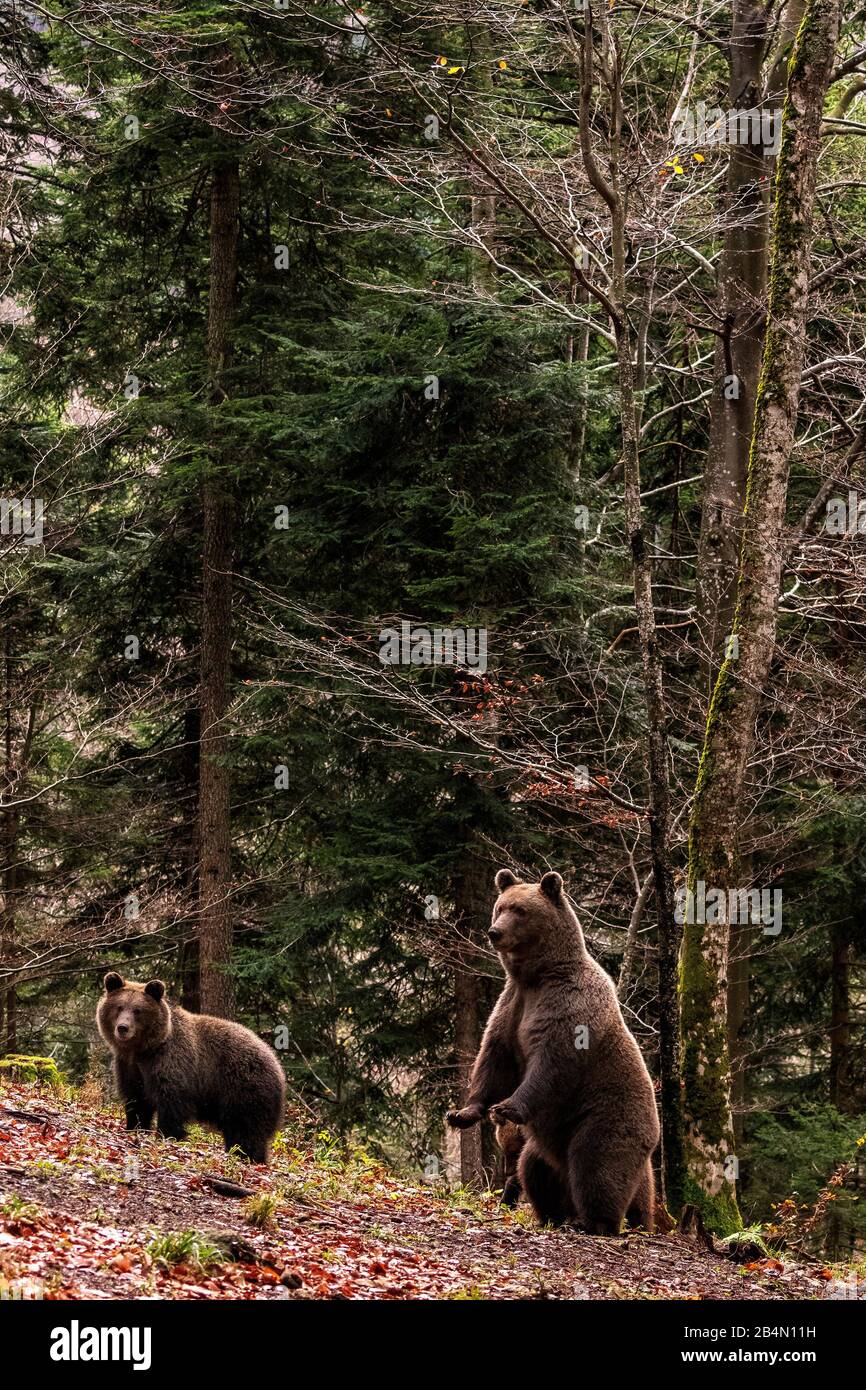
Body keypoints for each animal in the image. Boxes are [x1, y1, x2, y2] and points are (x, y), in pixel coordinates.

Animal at [95, 973, 284, 1167]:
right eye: (119, 1007)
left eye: (138, 1010)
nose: (122, 1028)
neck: (143, 1050)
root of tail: (275, 1060)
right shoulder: (130, 1068)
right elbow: (137, 1100)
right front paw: (134, 1128)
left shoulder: (172, 1063)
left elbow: (172, 1105)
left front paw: (168, 1135)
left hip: (244, 1088)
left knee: (247, 1130)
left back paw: (249, 1157)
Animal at [450, 872, 661, 1234]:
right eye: (500, 907)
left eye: (520, 910)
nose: (494, 932)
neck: (537, 976)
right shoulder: (512, 1005)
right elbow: (494, 1058)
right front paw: (464, 1112)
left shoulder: (568, 1006)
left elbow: (552, 1062)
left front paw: (507, 1106)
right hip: (548, 1142)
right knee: (535, 1169)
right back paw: (554, 1215)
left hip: (606, 1115)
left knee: (598, 1167)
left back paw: (594, 1222)